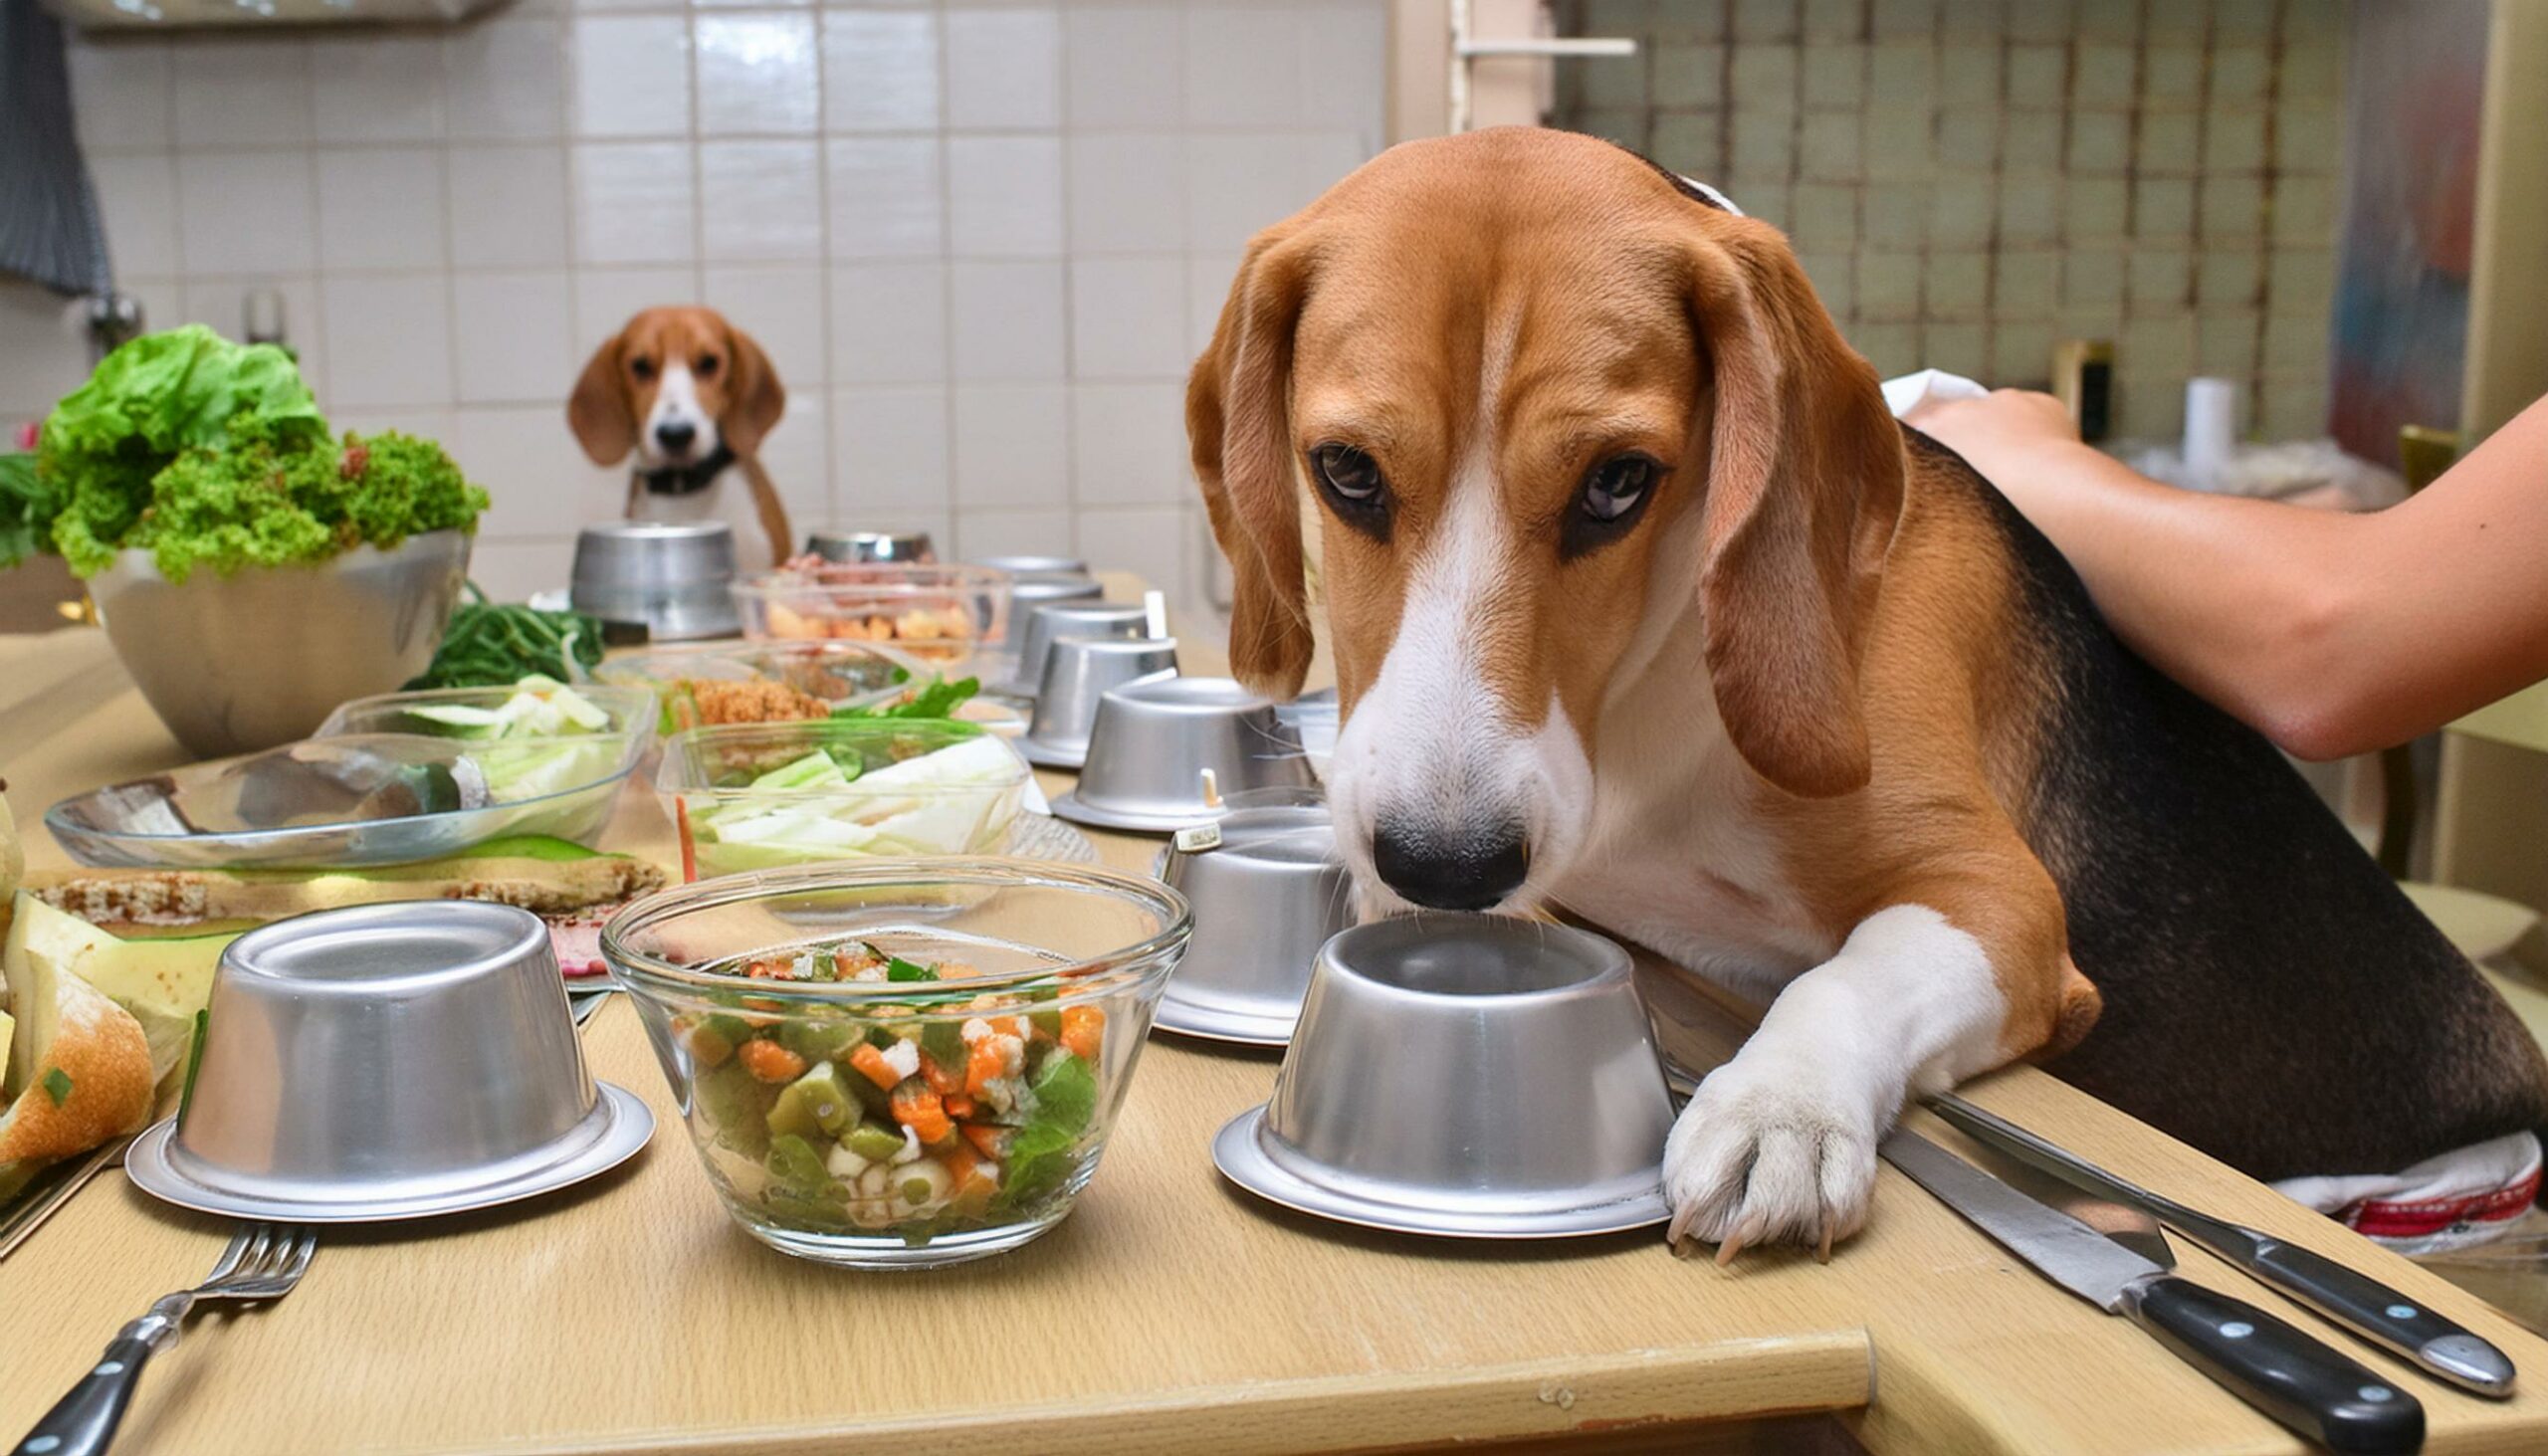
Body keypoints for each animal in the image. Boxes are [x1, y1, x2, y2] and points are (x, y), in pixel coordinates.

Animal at [1192, 130, 2548, 1259]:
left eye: (1620, 483)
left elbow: (1844, 970)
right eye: (1346, 472)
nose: (1447, 865)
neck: (1652, 701)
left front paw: (1779, 1109)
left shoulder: (2001, 904)